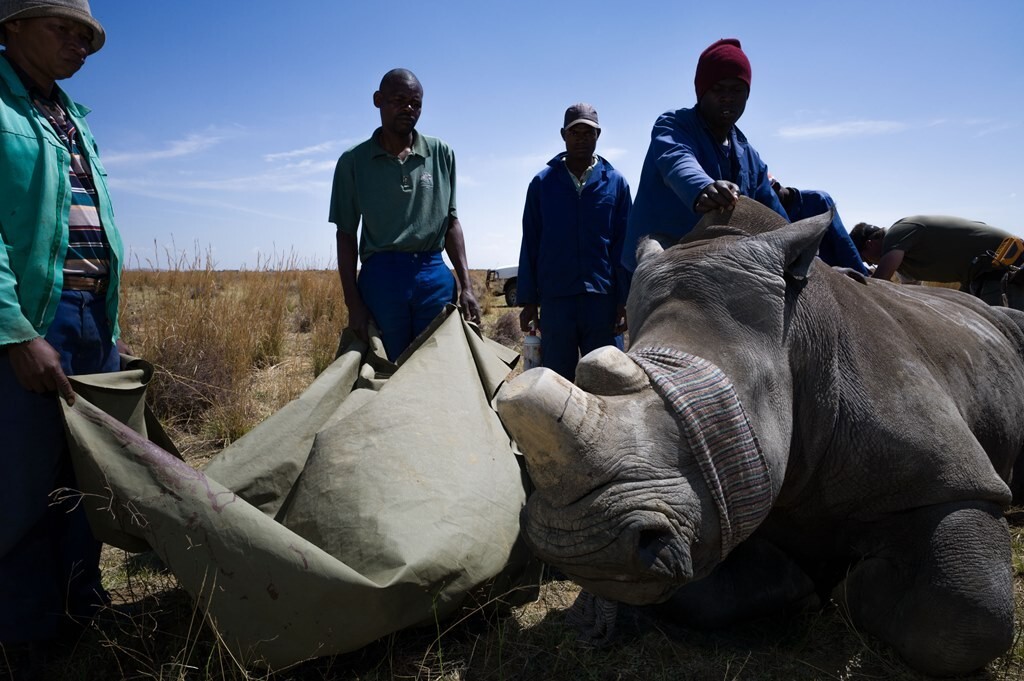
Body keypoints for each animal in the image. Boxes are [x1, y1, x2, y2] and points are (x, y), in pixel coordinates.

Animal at [495, 196, 1024, 675]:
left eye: (719, 413)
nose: (582, 549)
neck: (800, 344)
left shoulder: (950, 479)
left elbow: (963, 614)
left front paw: (849, 581)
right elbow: (703, 592)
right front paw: (805, 587)